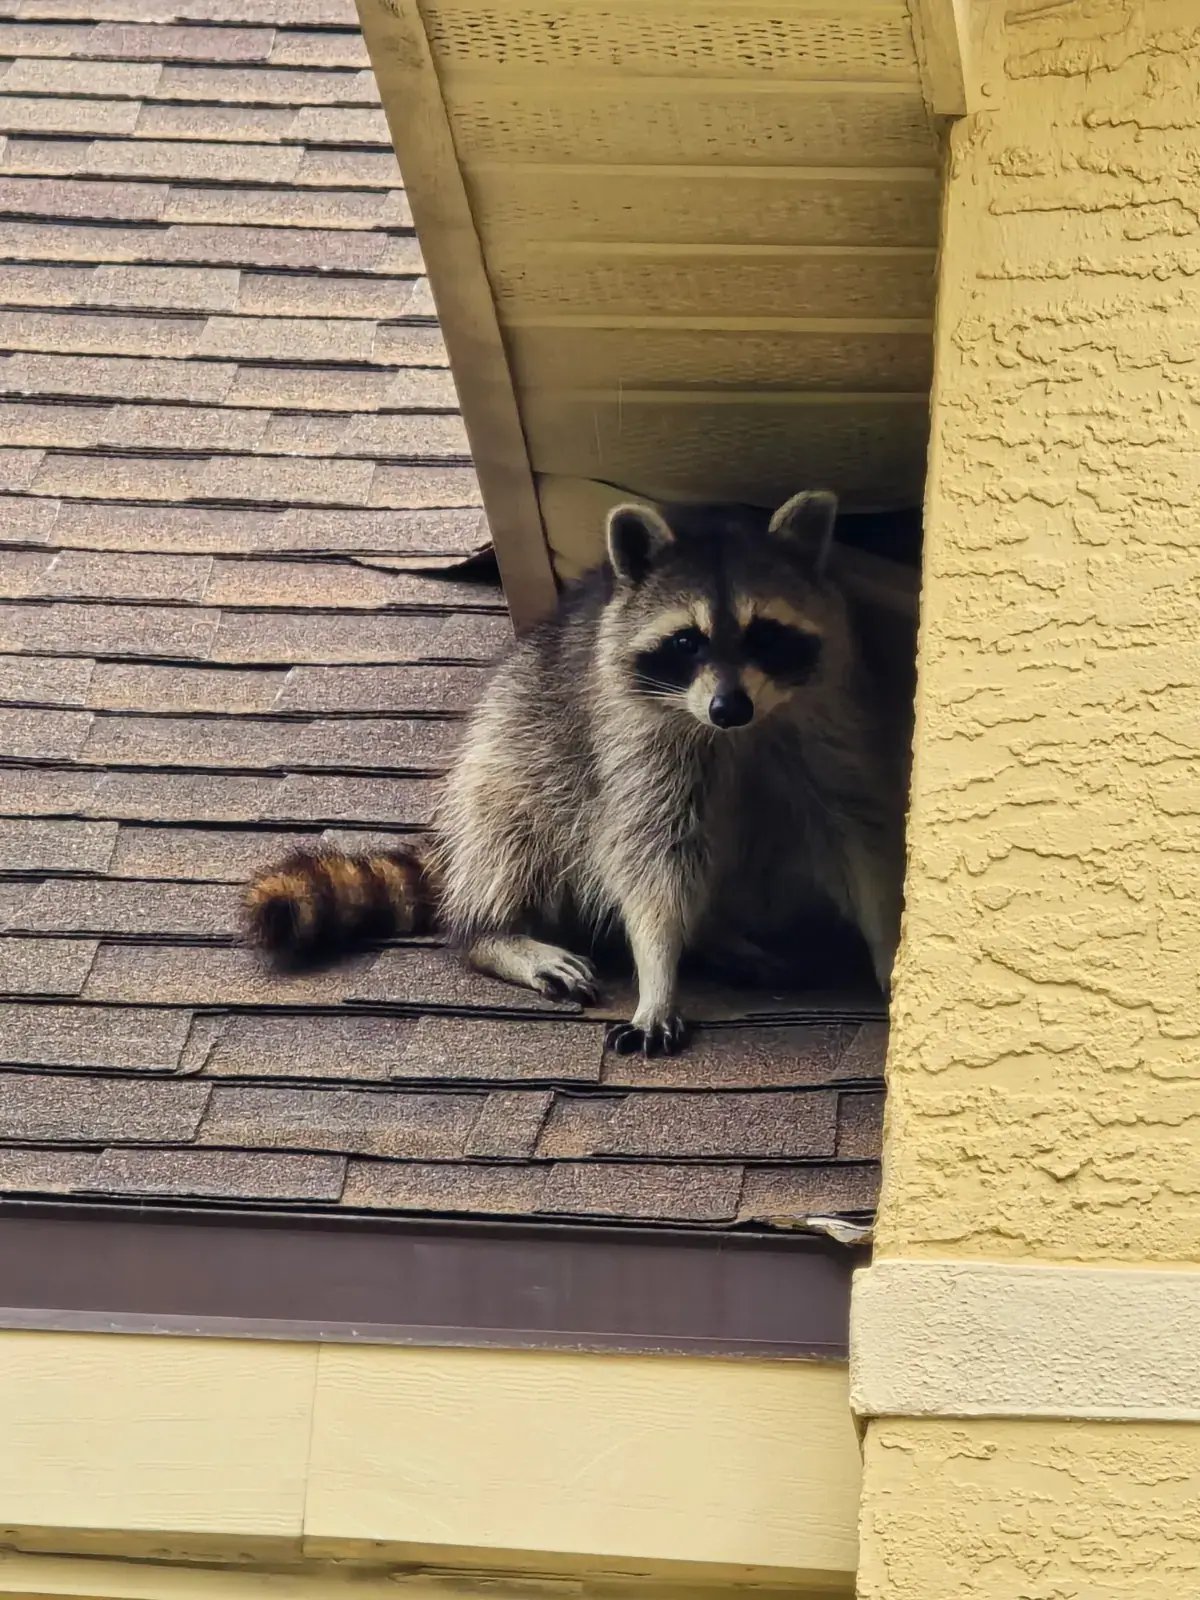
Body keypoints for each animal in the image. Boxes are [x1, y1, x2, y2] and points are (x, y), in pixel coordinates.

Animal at [245, 489, 904, 1056]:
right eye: (686, 642)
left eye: (763, 633)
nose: (729, 708)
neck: (737, 735)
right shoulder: (631, 747)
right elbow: (648, 856)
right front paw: (657, 975)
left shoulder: (825, 727)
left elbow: (855, 833)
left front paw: (889, 946)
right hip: (511, 758)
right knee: (511, 832)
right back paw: (495, 932)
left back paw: (717, 935)